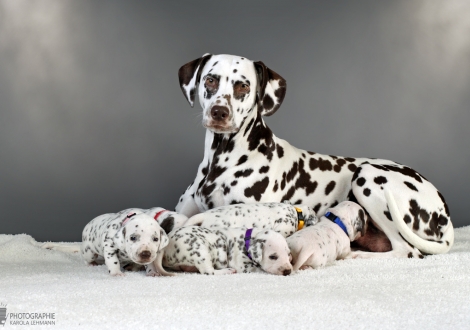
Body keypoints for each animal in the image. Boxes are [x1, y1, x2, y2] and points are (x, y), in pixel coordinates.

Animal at [162, 227, 294, 276]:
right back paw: (228, 271)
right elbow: (259, 269)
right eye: (273, 257)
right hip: (200, 249)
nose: (288, 271)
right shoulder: (243, 266)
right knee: (209, 272)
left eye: (288, 254)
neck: (246, 240)